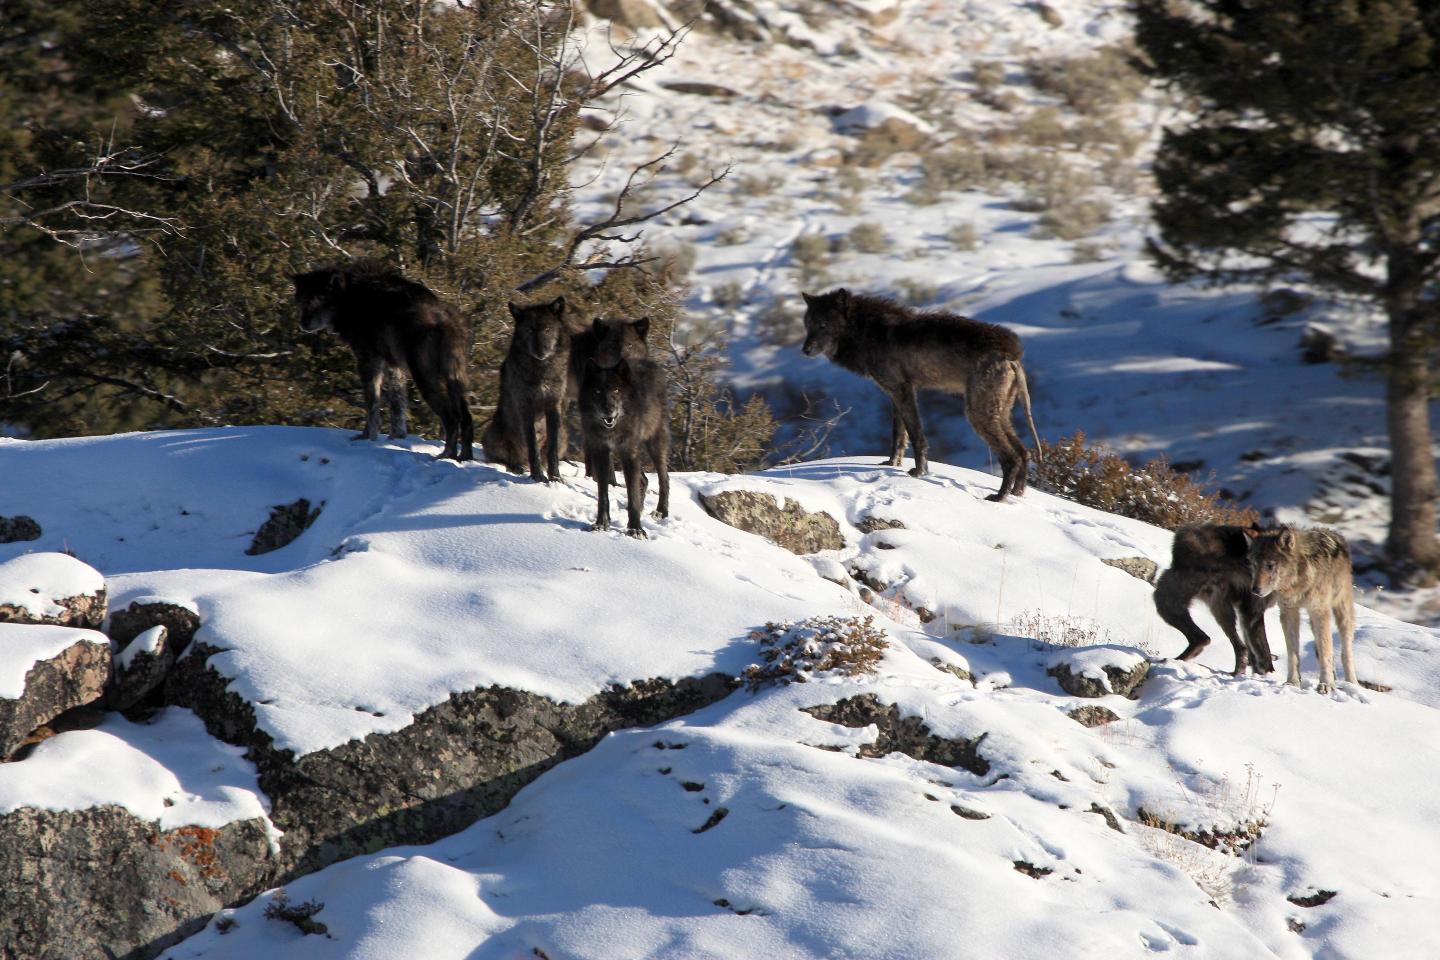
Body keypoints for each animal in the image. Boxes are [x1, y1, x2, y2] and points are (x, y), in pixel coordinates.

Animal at [293, 261, 474, 461]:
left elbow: (372, 403)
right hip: (453, 379)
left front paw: (367, 437)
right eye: (302, 300)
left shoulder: (369, 360)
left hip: (426, 379)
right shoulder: (394, 366)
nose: (303, 323)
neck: (350, 297)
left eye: (319, 298)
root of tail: (447, 317)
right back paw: (464, 457)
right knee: (467, 419)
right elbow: (397, 405)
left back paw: (445, 456)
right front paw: (397, 437)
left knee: (453, 418)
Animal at [483, 297, 571, 482]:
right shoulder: (525, 406)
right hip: (494, 433)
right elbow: (532, 446)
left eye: (547, 329)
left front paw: (555, 477)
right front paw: (537, 476)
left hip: (564, 434)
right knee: (506, 460)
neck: (542, 370)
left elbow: (551, 449)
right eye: (530, 330)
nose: (540, 351)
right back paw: (518, 467)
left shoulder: (553, 405)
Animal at [579, 357, 670, 538]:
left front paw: (635, 529)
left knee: (664, 477)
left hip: (654, 444)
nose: (608, 410)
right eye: (597, 391)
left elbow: (632, 493)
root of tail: (652, 363)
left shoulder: (629, 452)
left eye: (616, 390)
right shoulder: (600, 451)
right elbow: (603, 494)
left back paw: (661, 511)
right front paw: (601, 524)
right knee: (644, 480)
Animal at [799, 288, 1041, 501]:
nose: (805, 350)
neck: (866, 331)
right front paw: (892, 464)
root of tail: (1011, 355)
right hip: (999, 415)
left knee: (1011, 457)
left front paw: (919, 472)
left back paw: (999, 498)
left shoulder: (903, 391)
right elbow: (898, 436)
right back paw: (1017, 494)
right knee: (1023, 452)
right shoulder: (896, 394)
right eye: (808, 325)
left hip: (978, 415)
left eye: (823, 325)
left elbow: (916, 435)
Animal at [1250, 526, 1357, 694]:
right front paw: (1292, 682)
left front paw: (1326, 684)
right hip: (1313, 621)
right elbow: (1293, 653)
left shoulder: (1320, 611)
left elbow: (1326, 651)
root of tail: (1335, 534)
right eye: (1254, 565)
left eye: (1270, 565)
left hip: (1342, 612)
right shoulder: (1289, 612)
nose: (1254, 590)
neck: (1298, 580)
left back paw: (1352, 683)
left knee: (1345, 651)